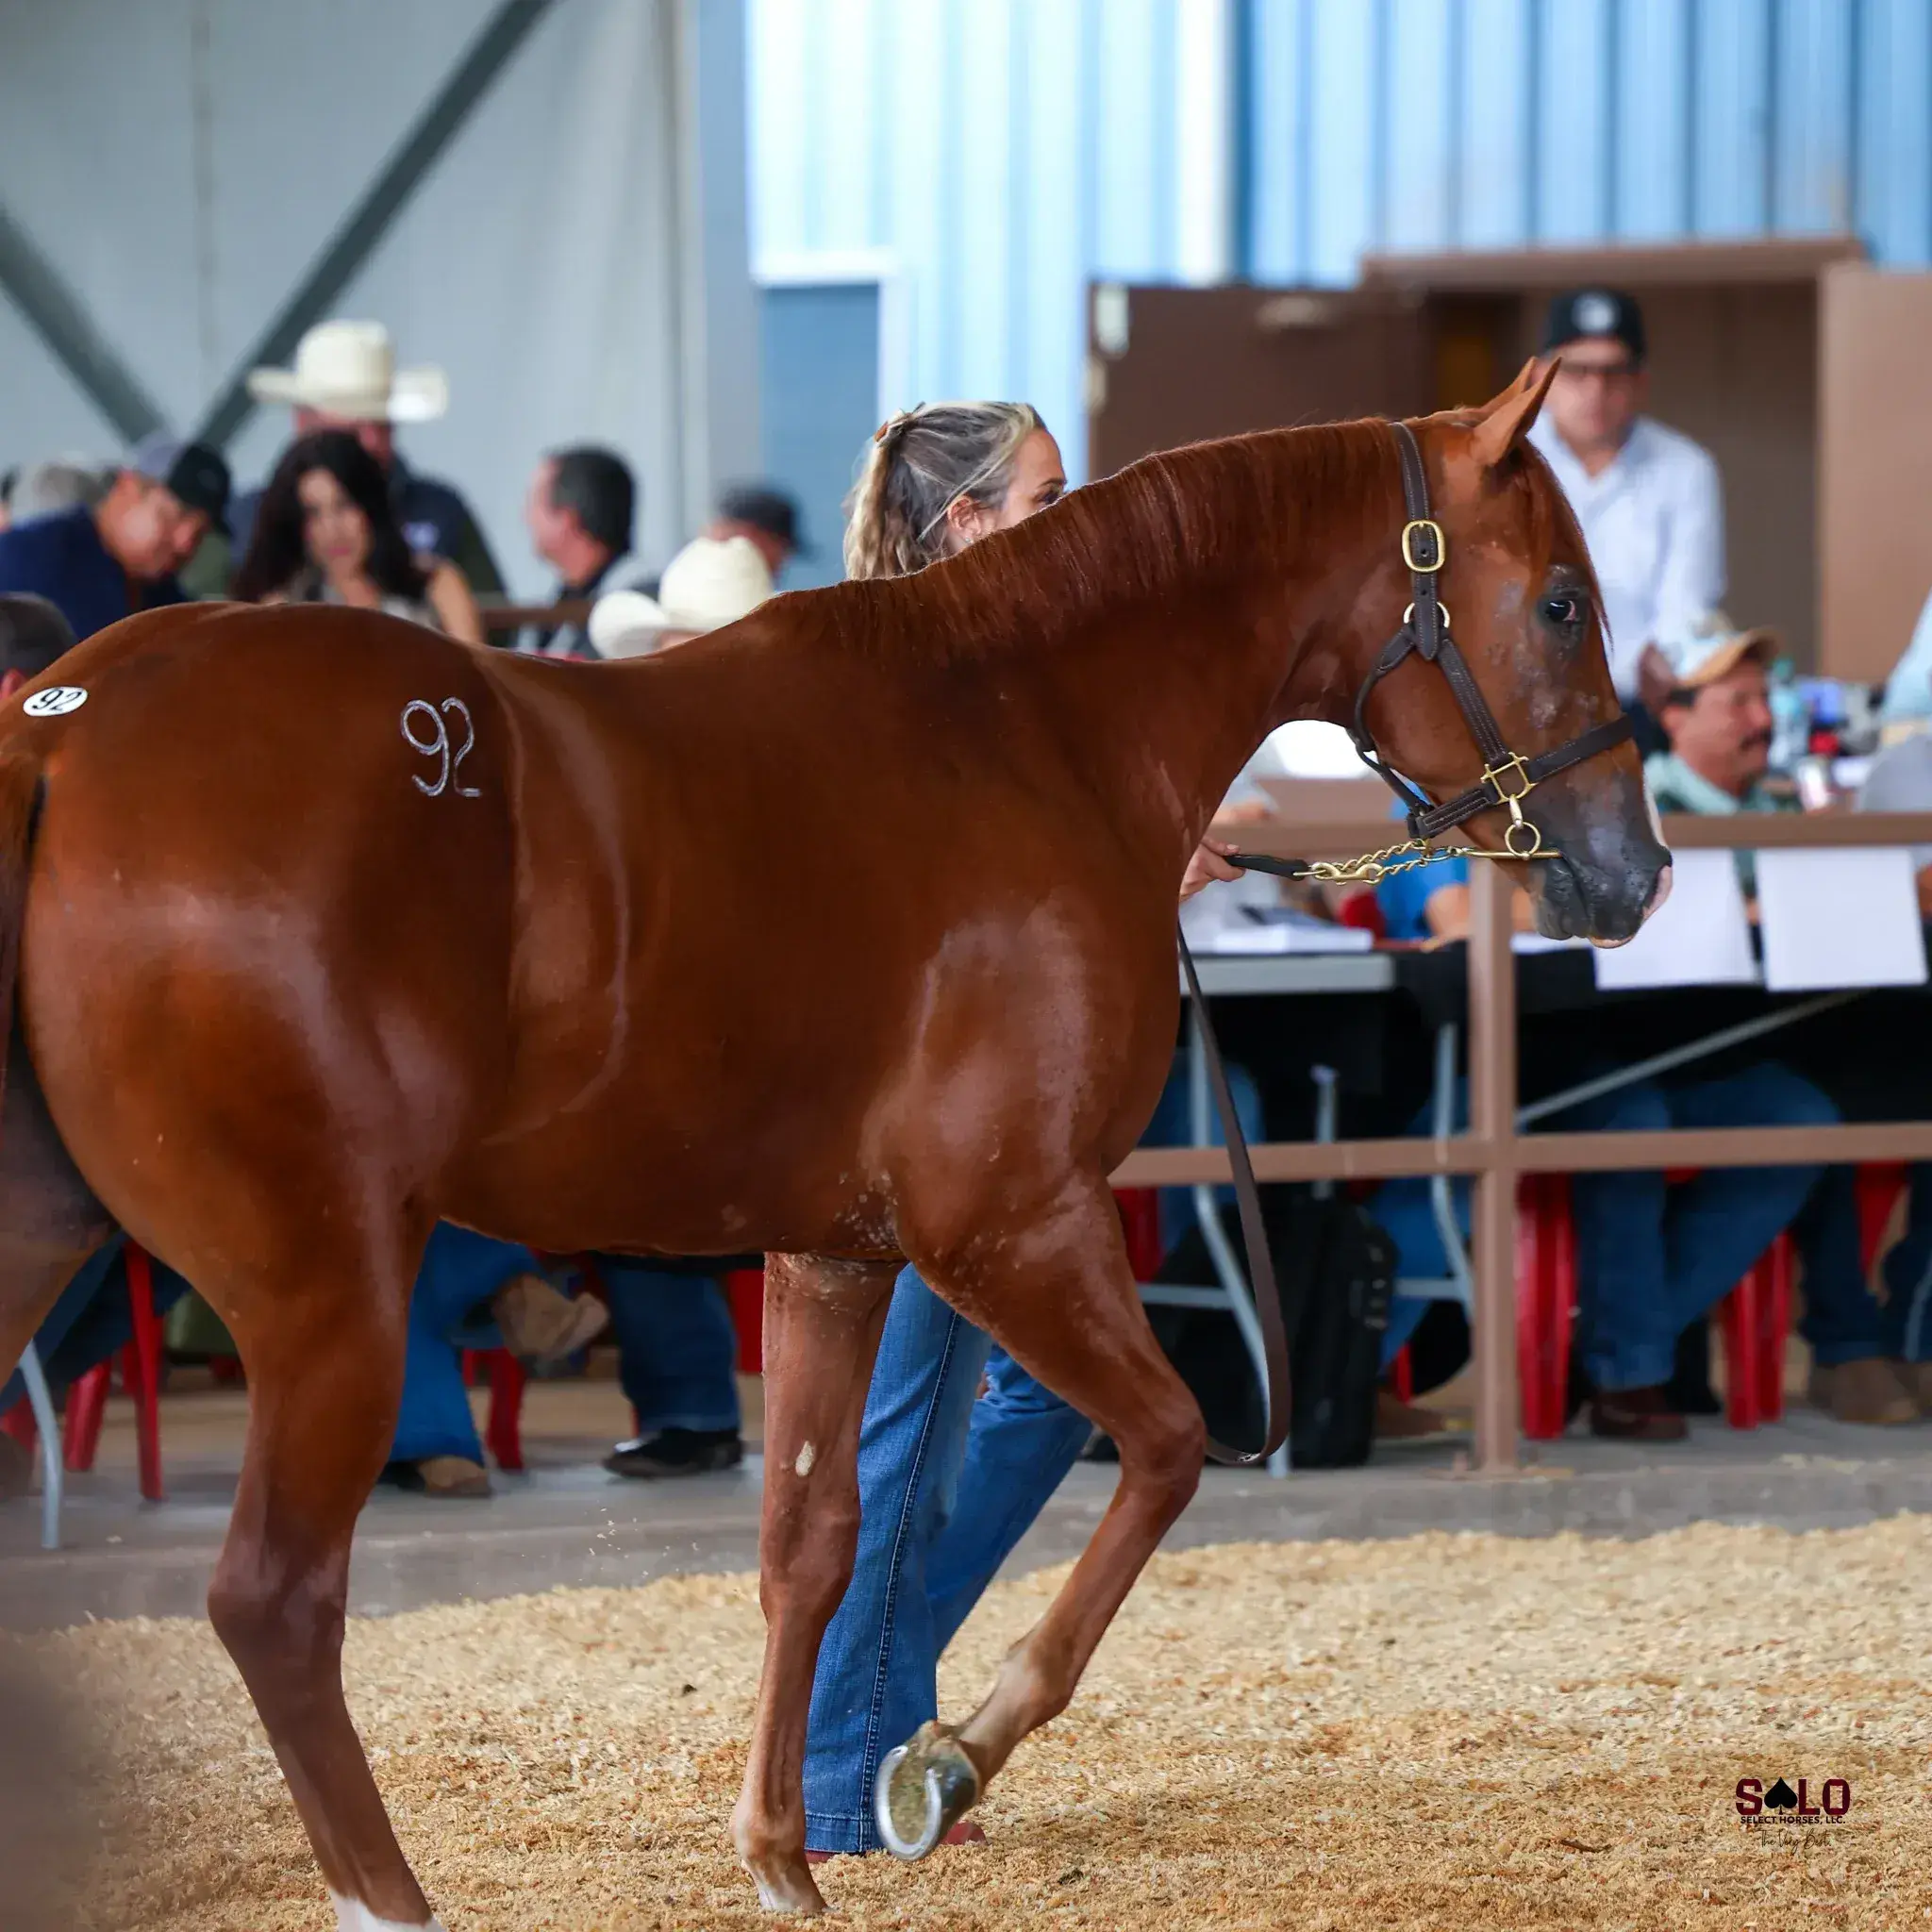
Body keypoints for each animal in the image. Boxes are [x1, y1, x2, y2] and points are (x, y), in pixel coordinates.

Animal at [0, 366, 1665, 1925]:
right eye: (1562, 598)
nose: (1635, 874)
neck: (1030, 731)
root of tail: (61, 745)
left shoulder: (838, 1252)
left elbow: (812, 1535)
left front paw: (781, 1854)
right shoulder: (1010, 1226)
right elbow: (1167, 1446)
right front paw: (949, 1758)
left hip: (59, 1246)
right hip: (328, 1288)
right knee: (274, 1600)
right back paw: (390, 1899)